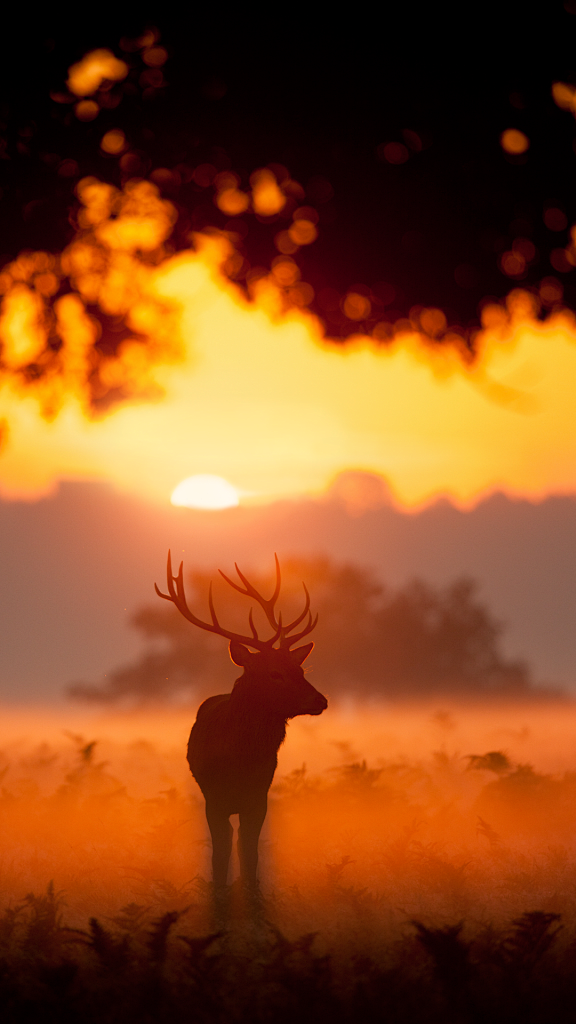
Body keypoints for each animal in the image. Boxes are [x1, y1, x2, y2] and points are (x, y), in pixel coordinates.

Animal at [153, 548, 327, 892]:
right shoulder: (213, 799)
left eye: (301, 669)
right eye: (274, 673)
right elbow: (219, 854)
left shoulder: (258, 797)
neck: (239, 762)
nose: (320, 700)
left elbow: (250, 853)